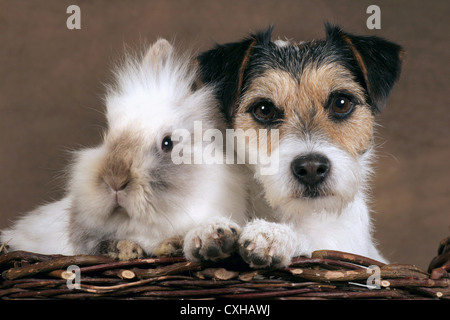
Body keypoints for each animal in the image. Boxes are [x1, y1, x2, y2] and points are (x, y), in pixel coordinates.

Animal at [0, 38, 246, 262]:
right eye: (108, 134)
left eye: (168, 143)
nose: (115, 181)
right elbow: (103, 244)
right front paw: (130, 249)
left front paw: (180, 243)